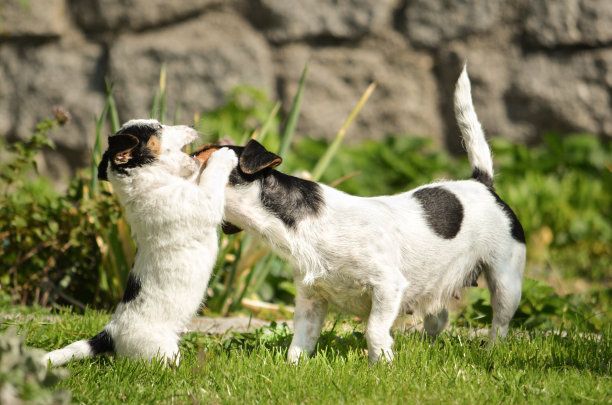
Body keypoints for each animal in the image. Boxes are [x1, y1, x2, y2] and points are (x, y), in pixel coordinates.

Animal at [43, 119, 238, 366]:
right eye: (158, 127)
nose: (193, 125)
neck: (150, 183)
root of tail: (110, 333)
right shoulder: (205, 201)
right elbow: (211, 177)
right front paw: (224, 155)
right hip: (162, 351)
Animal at [195, 66, 524, 362]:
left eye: (200, 157)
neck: (303, 227)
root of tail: (482, 182)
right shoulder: (311, 299)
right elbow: (300, 342)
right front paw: (294, 367)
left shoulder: (387, 286)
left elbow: (374, 331)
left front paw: (383, 363)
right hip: (437, 286)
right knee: (438, 319)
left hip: (506, 280)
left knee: (500, 323)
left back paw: (491, 352)